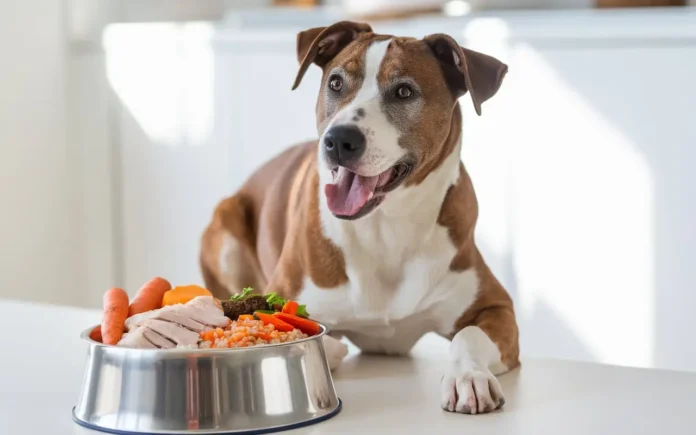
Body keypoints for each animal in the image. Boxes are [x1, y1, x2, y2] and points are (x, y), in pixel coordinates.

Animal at [200, 20, 516, 416]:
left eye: (404, 91)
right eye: (336, 82)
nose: (338, 140)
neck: (385, 226)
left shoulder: (497, 307)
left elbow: (468, 335)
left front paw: (468, 377)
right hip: (224, 225)